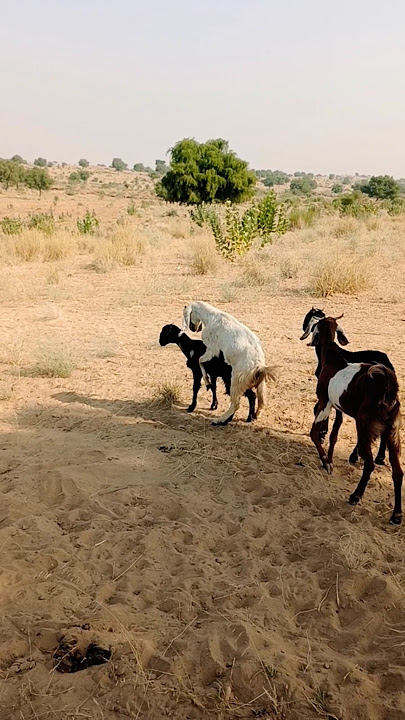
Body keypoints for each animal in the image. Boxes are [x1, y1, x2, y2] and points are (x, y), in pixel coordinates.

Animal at [301, 307, 394, 465]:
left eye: (308, 317)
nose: (303, 327)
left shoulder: (326, 396)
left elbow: (318, 411)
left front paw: (322, 435)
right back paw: (379, 457)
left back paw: (355, 456)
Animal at [309, 316, 402, 524]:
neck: (333, 359)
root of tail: (388, 389)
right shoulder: (338, 408)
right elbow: (334, 434)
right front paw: (328, 459)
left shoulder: (325, 402)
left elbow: (314, 433)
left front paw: (326, 462)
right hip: (392, 432)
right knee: (398, 472)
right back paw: (397, 514)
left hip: (365, 426)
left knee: (369, 464)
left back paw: (355, 495)